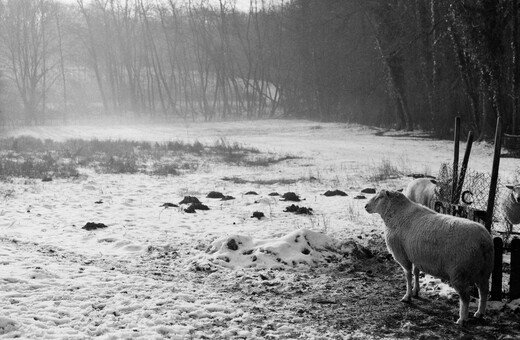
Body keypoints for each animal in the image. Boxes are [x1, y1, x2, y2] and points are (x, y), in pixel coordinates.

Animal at [364, 189, 494, 324]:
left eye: (379, 197)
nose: (365, 206)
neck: (397, 212)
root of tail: (483, 241)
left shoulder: (403, 255)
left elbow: (408, 275)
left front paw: (407, 296)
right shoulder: (415, 254)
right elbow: (416, 272)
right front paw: (415, 291)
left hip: (459, 272)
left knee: (466, 297)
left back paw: (462, 319)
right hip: (484, 271)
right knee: (484, 291)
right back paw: (480, 313)